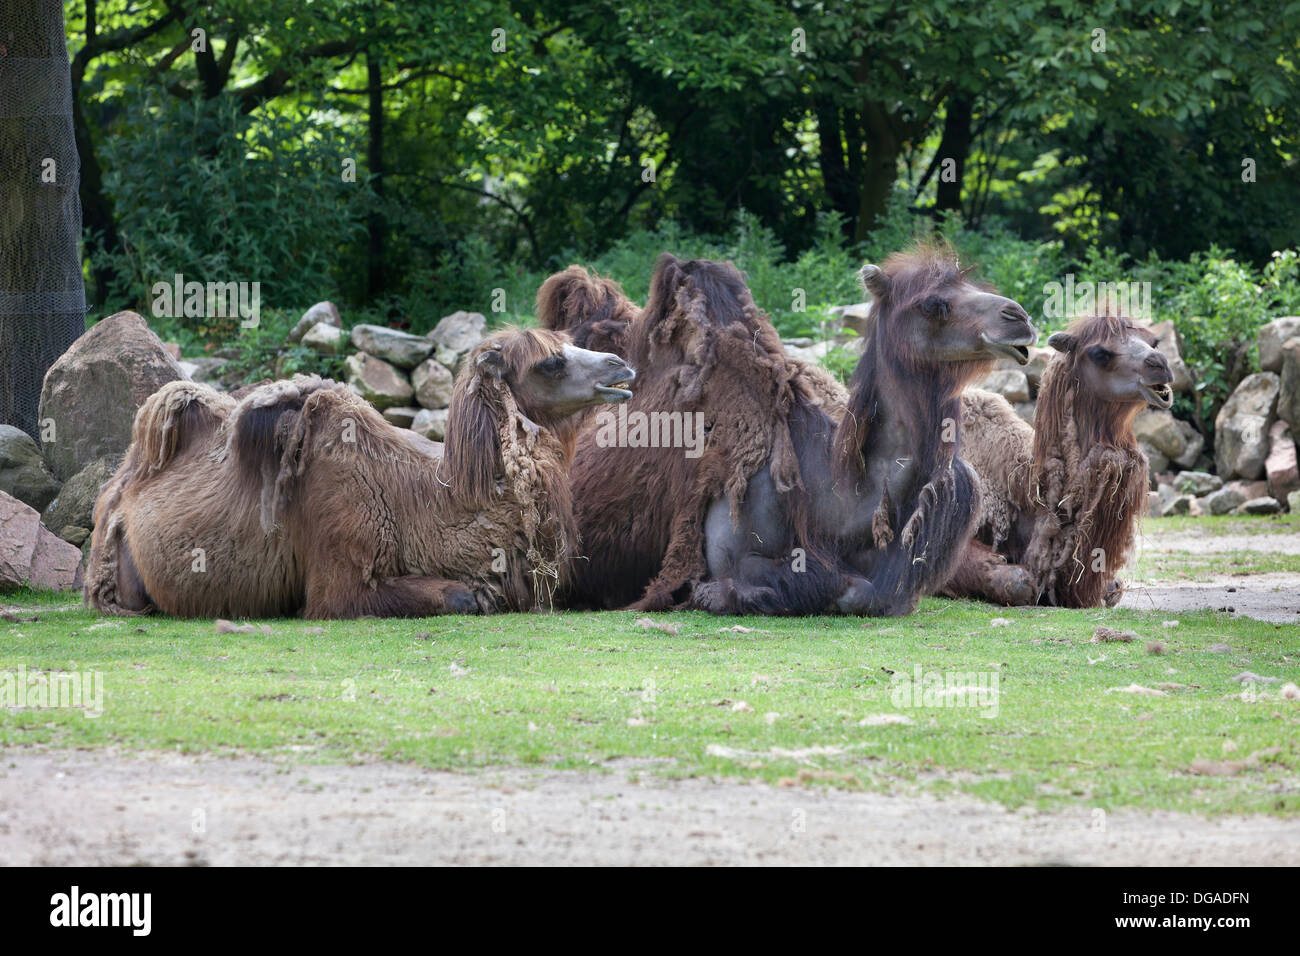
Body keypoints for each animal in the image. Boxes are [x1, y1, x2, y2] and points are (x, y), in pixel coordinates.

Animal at [85, 328, 636, 619]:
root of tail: (119, 486)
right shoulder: (340, 564)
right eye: (550, 362)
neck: (427, 499)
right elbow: (464, 595)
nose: (620, 366)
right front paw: (471, 593)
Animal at [540, 244, 1037, 615]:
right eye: (934, 304)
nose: (1020, 317)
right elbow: (844, 588)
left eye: (976, 286)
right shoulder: (732, 544)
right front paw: (709, 593)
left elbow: (873, 592)